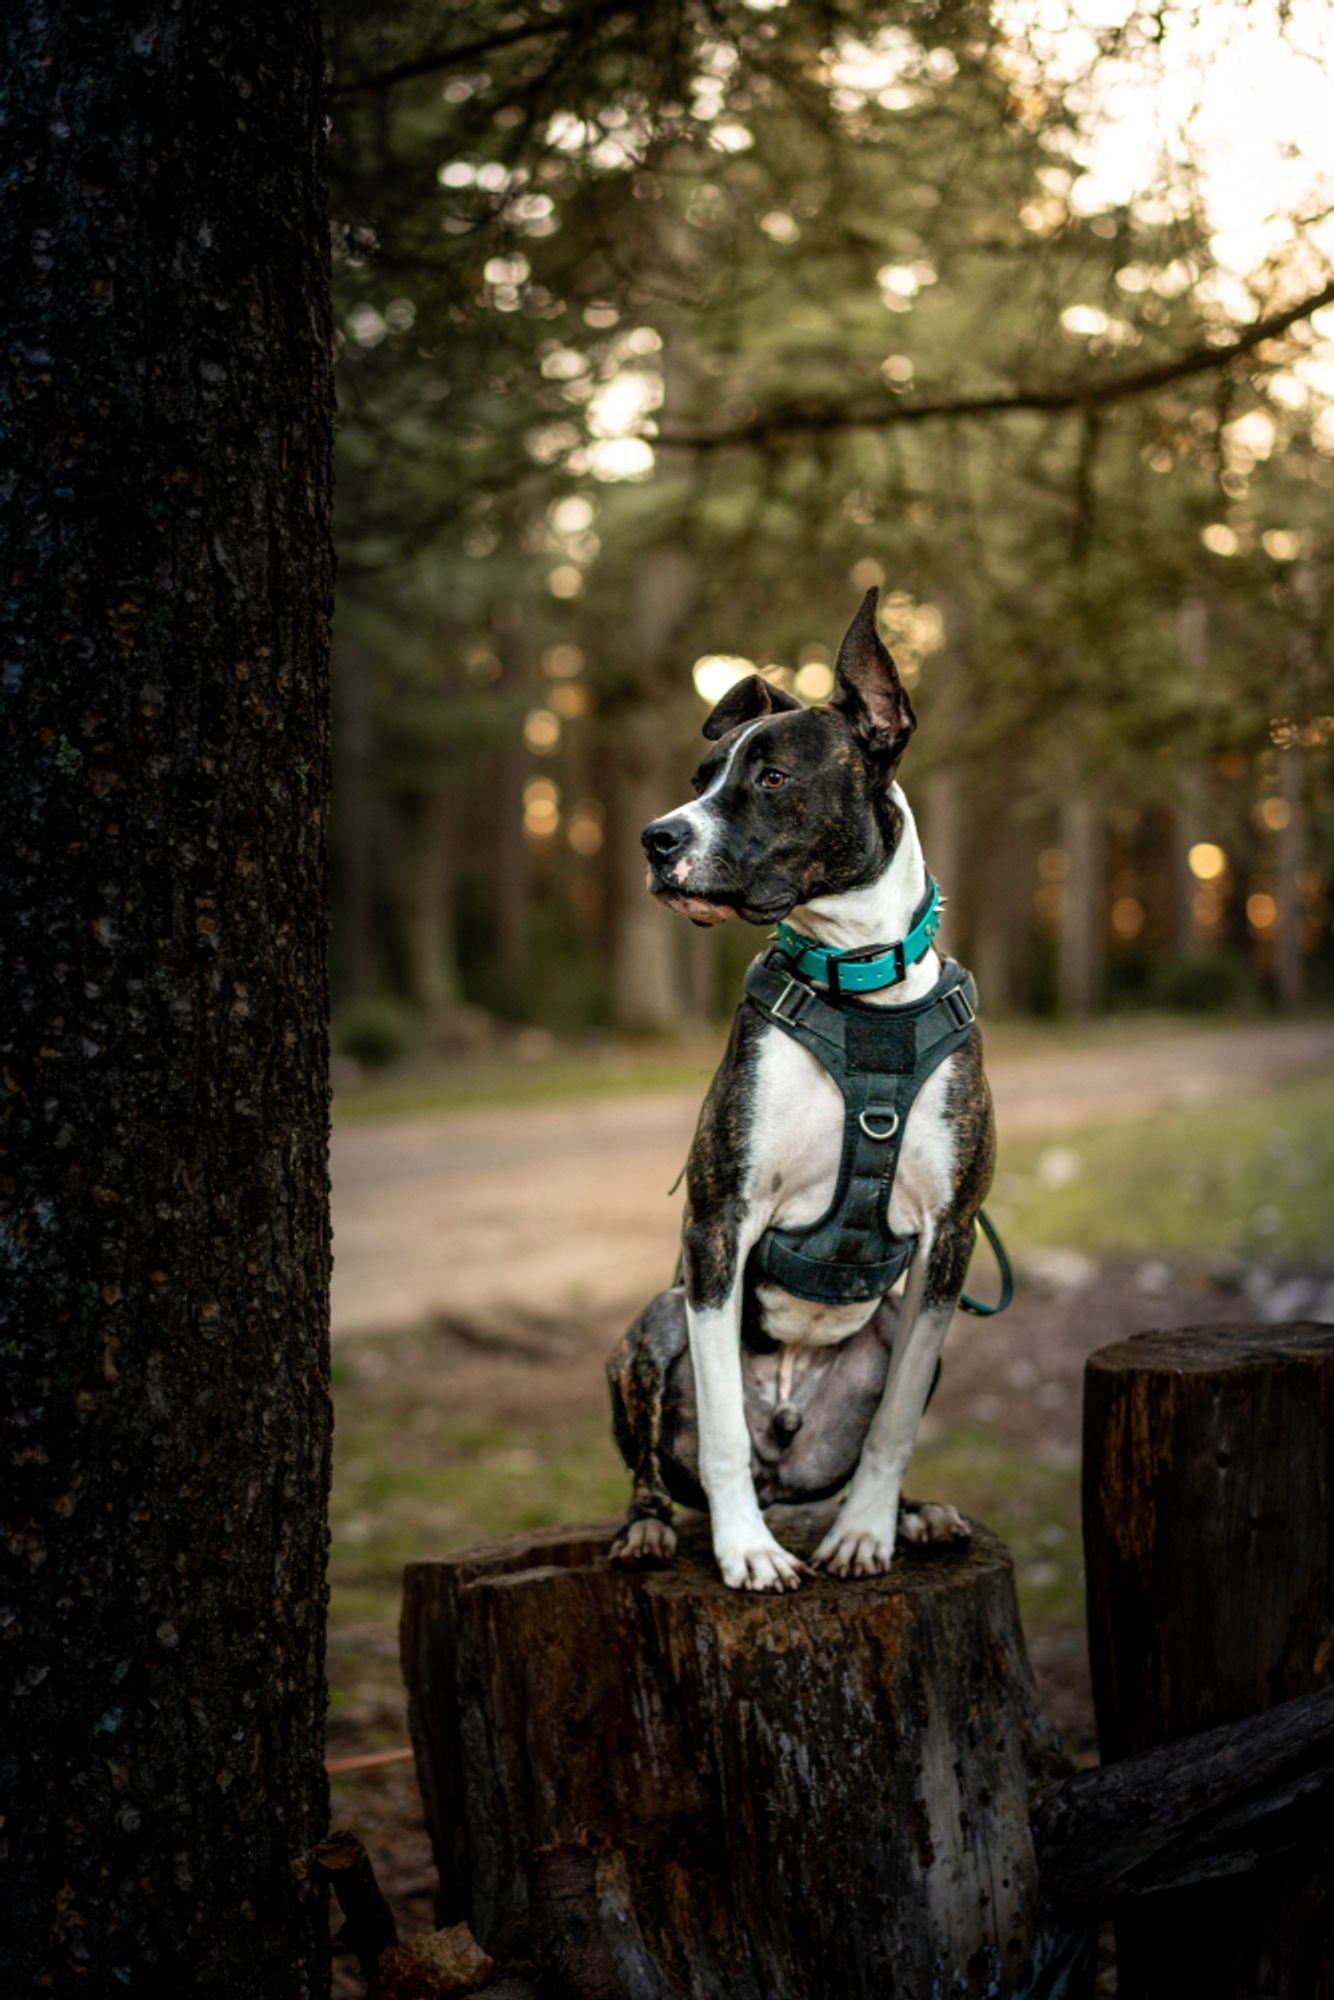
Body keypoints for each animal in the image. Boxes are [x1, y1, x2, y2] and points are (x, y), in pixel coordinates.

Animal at [604, 584, 992, 1592]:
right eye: (703, 774)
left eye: (773, 779)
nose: (655, 838)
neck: (857, 983)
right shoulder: (719, 1225)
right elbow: (721, 1435)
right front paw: (745, 1549)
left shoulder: (948, 1241)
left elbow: (894, 1424)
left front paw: (867, 1530)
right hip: (655, 1322)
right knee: (664, 1461)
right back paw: (652, 1528)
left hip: (894, 1326)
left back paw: (918, 1514)